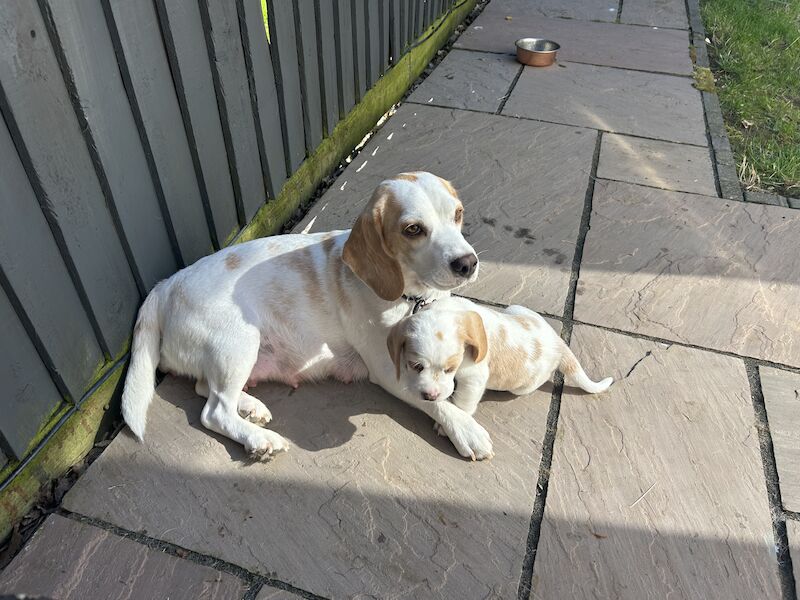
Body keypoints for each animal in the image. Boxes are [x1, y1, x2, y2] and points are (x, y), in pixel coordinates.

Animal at [123, 172, 500, 460]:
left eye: (458, 214)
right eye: (413, 230)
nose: (467, 264)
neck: (412, 296)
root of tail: (166, 285)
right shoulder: (389, 369)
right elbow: (437, 402)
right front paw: (464, 428)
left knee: (207, 389)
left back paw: (250, 407)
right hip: (239, 340)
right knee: (213, 412)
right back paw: (260, 440)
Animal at [388, 298, 612, 424]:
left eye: (450, 369)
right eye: (416, 366)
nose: (430, 396)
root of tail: (560, 343)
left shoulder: (473, 377)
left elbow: (464, 403)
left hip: (523, 387)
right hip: (517, 308)